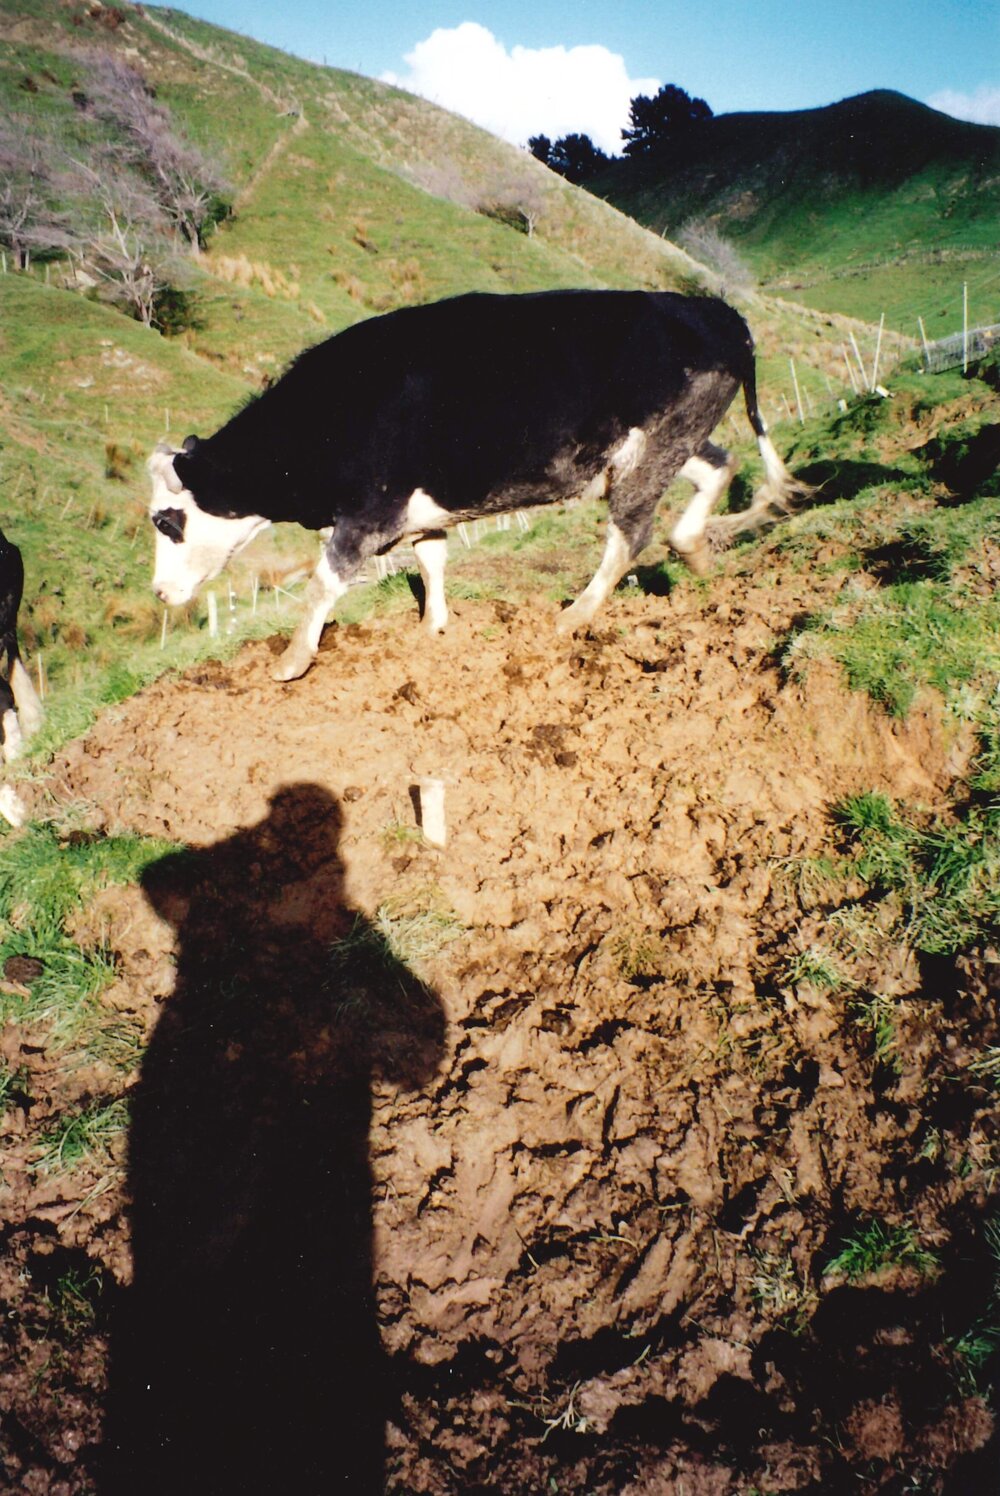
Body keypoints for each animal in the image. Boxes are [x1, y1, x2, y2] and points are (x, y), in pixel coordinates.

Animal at [148, 289, 804, 682]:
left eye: (166, 521)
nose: (158, 592)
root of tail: (714, 311)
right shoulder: (419, 513)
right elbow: (432, 561)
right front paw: (432, 628)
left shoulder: (369, 512)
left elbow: (323, 581)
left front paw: (291, 659)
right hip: (654, 447)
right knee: (718, 466)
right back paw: (696, 554)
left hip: (656, 447)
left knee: (631, 533)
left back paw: (575, 614)